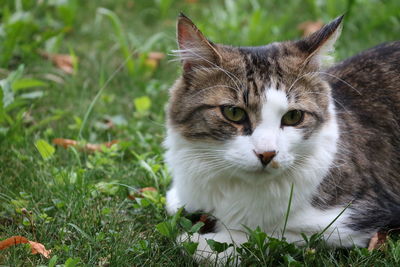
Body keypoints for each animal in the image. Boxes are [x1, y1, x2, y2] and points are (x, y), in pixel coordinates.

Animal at [163, 13, 400, 264]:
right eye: (233, 113)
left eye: (293, 117)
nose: (267, 154)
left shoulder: (355, 218)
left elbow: (269, 234)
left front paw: (207, 244)